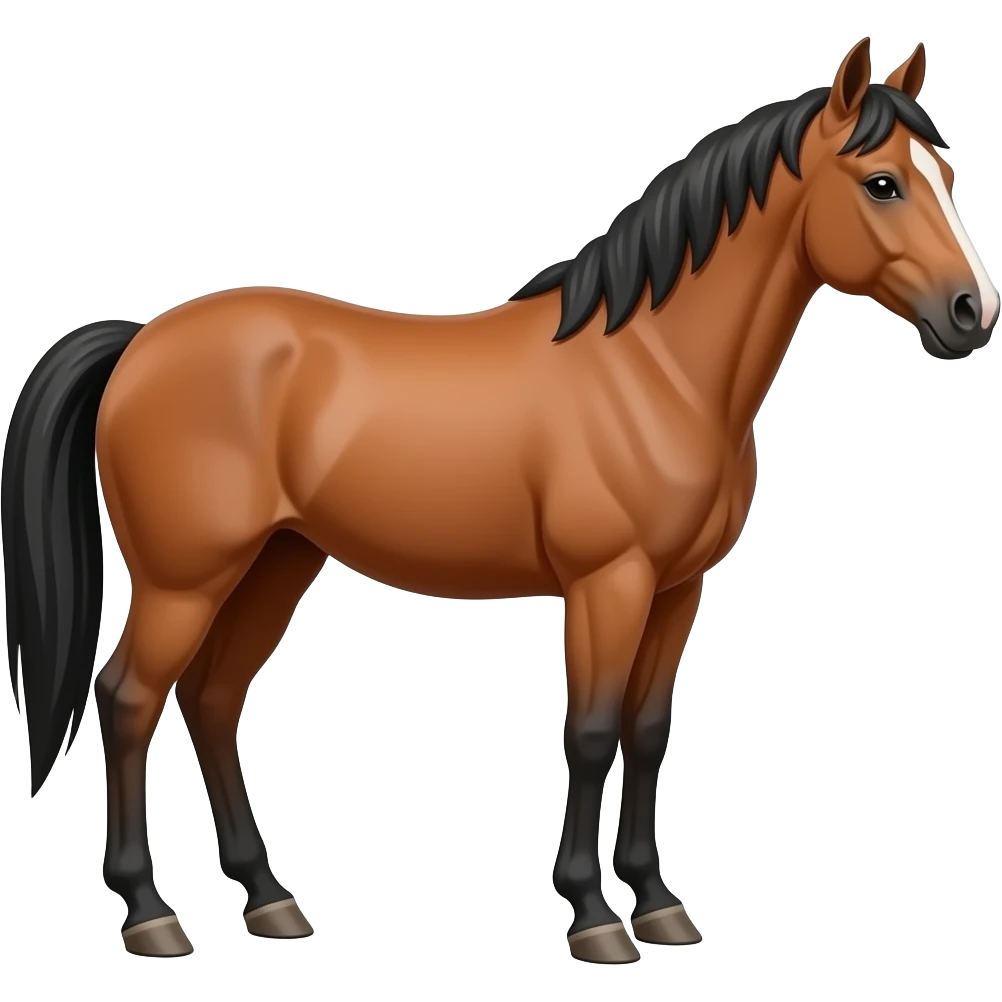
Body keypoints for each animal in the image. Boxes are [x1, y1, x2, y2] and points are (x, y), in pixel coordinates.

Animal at [2, 36, 997, 963]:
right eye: (881, 184)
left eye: (944, 175)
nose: (970, 314)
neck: (656, 369)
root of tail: (142, 342)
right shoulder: (609, 583)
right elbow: (589, 732)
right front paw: (595, 918)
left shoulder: (679, 590)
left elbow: (647, 732)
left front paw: (660, 904)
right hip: (186, 578)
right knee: (129, 698)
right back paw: (150, 914)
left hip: (278, 561)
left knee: (211, 699)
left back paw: (270, 900)